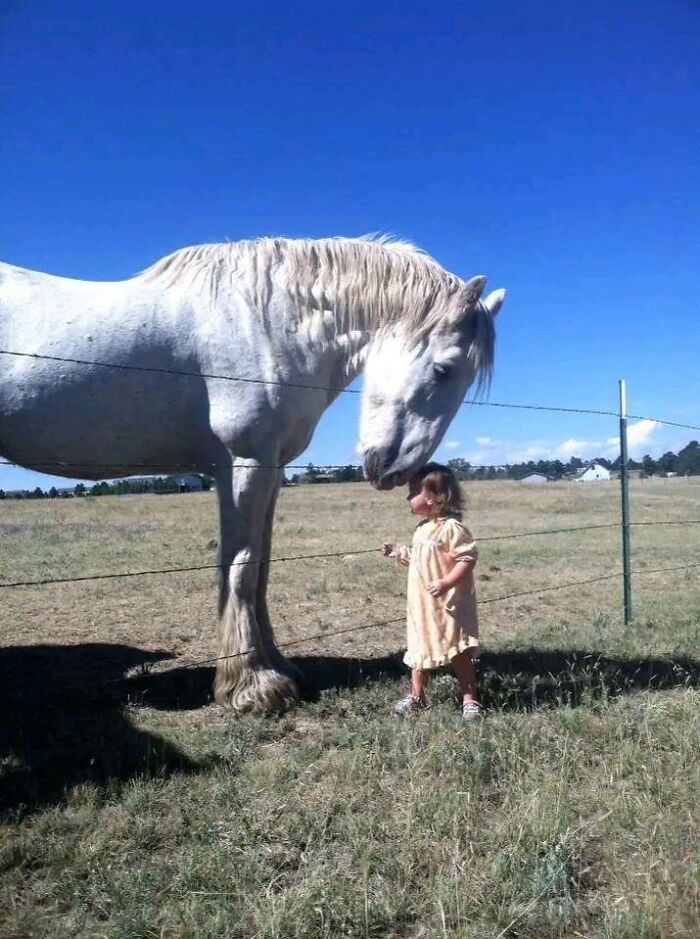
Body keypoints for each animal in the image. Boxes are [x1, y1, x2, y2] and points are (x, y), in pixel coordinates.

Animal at [0, 236, 505, 713]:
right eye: (443, 370)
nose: (396, 470)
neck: (267, 323)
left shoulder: (271, 469)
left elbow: (259, 569)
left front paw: (274, 665)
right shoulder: (244, 465)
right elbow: (239, 569)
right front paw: (253, 686)